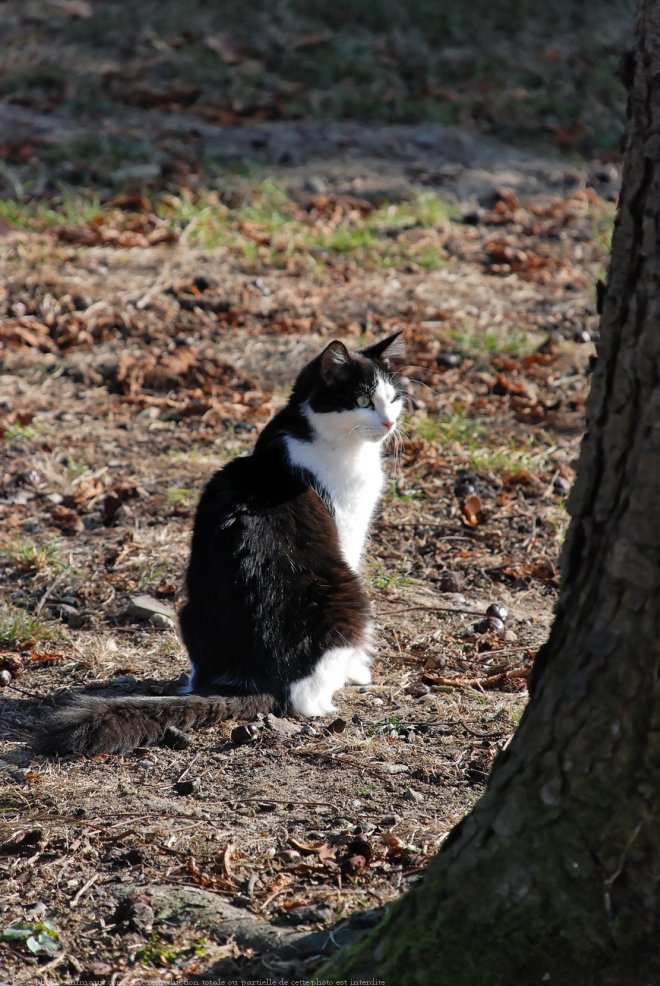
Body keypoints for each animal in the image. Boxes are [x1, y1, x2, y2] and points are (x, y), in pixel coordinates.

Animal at [40, 330, 408, 752]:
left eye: (393, 397)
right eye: (363, 401)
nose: (390, 421)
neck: (312, 436)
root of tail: (258, 679)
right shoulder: (348, 528)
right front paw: (359, 670)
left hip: (188, 609)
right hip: (348, 592)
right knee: (310, 695)